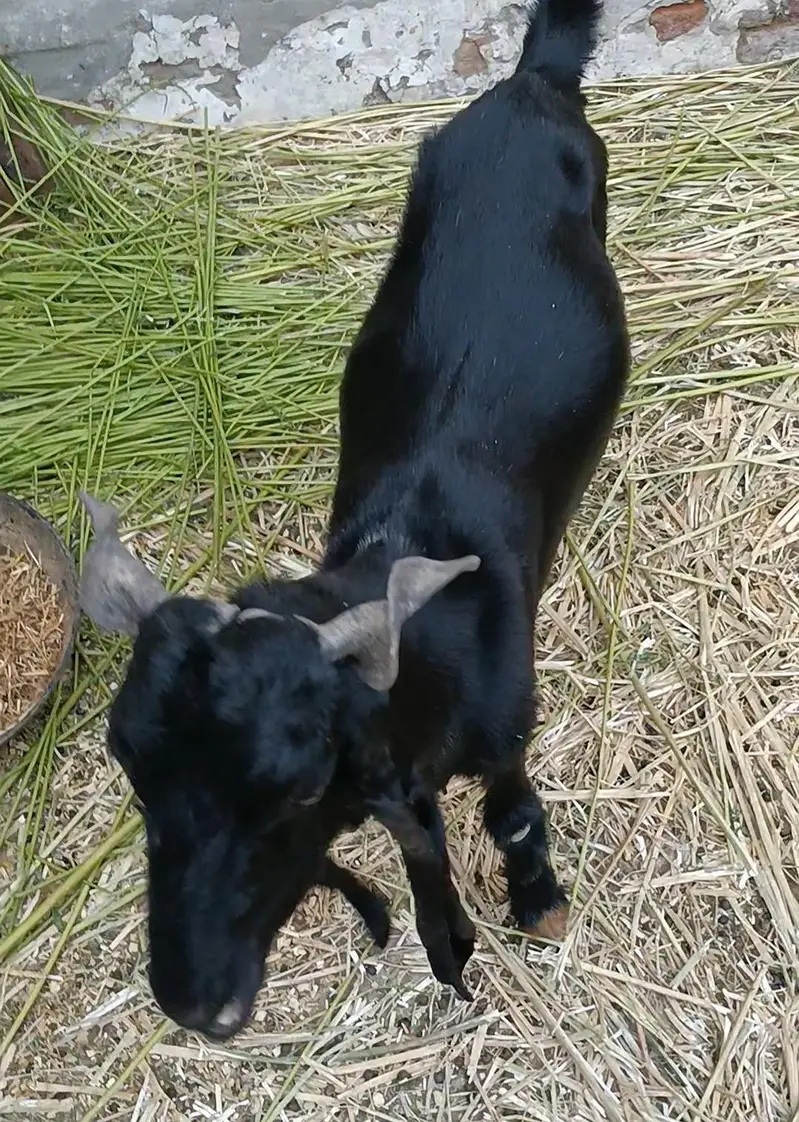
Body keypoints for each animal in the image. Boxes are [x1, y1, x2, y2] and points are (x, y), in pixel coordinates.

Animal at [78, 0, 629, 1040]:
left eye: (297, 785)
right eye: (128, 765)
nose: (193, 1001)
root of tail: (528, 84)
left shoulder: (508, 721)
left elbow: (509, 812)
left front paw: (537, 900)